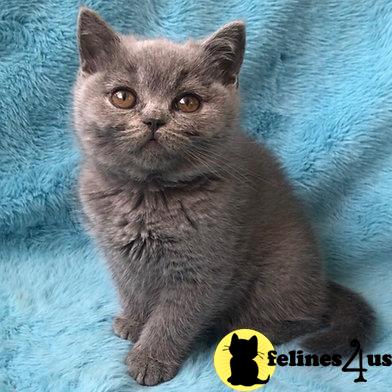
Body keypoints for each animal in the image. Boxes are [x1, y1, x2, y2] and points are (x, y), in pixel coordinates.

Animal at [72, 8, 374, 386]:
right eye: (123, 97)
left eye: (187, 102)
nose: (154, 119)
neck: (147, 195)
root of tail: (322, 284)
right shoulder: (118, 255)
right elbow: (132, 288)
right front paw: (134, 322)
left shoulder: (203, 265)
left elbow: (173, 317)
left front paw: (150, 358)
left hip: (281, 271)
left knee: (301, 318)